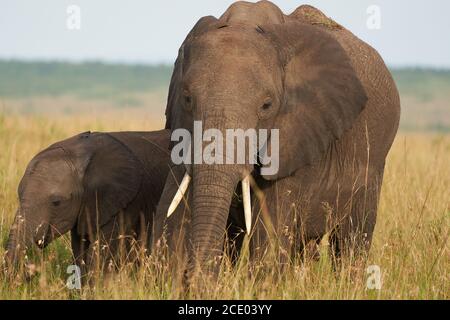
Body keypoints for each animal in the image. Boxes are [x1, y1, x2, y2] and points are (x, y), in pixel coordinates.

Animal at [3, 130, 171, 276]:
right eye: (18, 195)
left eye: (57, 203)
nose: (30, 272)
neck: (79, 151)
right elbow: (80, 252)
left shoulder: (123, 203)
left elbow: (100, 255)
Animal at [155, 0, 400, 280]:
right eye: (186, 98)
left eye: (267, 105)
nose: (199, 280)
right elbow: (171, 209)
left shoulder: (298, 135)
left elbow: (270, 228)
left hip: (374, 162)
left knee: (353, 238)